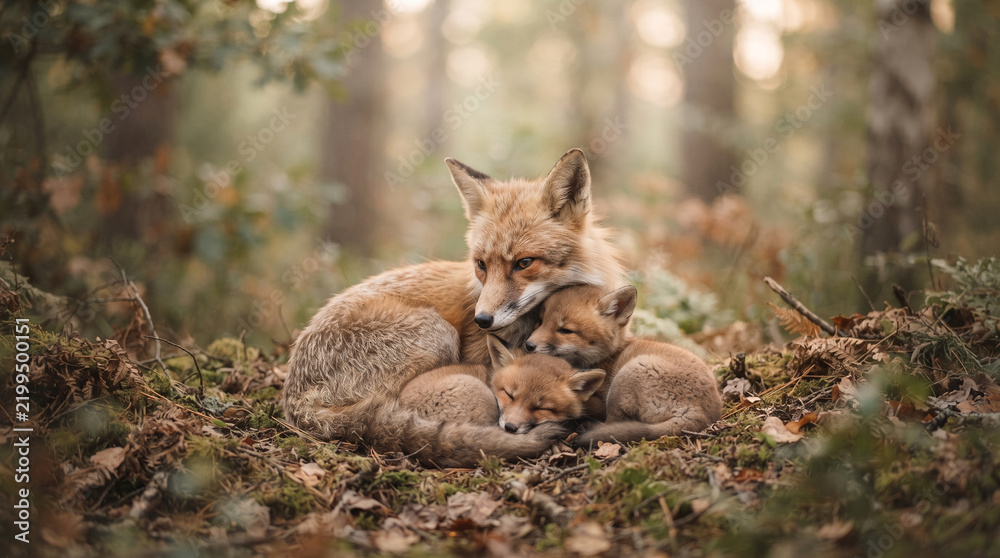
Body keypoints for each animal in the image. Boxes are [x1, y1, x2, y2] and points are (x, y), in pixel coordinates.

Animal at [524, 284, 723, 446]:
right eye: (540, 322)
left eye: (566, 331)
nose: (528, 345)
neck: (611, 355)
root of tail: (702, 412)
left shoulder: (599, 399)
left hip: (626, 376)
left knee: (613, 422)